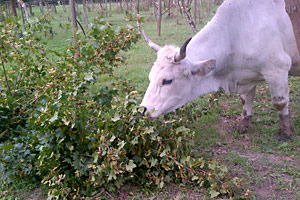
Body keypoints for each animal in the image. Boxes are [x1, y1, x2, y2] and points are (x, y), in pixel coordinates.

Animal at [140, 0, 300, 140]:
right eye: (150, 77)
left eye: (167, 80)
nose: (143, 109)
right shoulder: (247, 75)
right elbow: (246, 99)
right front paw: (244, 123)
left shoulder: (277, 68)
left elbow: (280, 103)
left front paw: (285, 131)